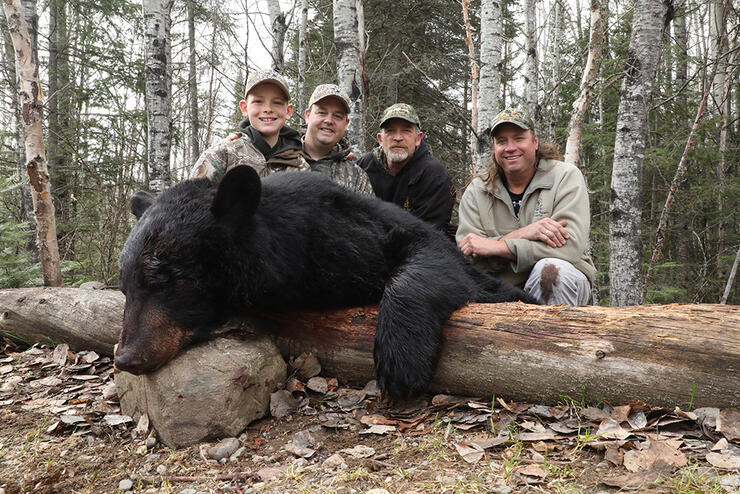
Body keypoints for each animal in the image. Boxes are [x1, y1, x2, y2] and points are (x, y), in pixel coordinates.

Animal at [115, 168, 540, 400]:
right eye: (126, 286)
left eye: (172, 280)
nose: (126, 358)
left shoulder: (360, 230)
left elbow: (435, 258)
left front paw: (401, 362)